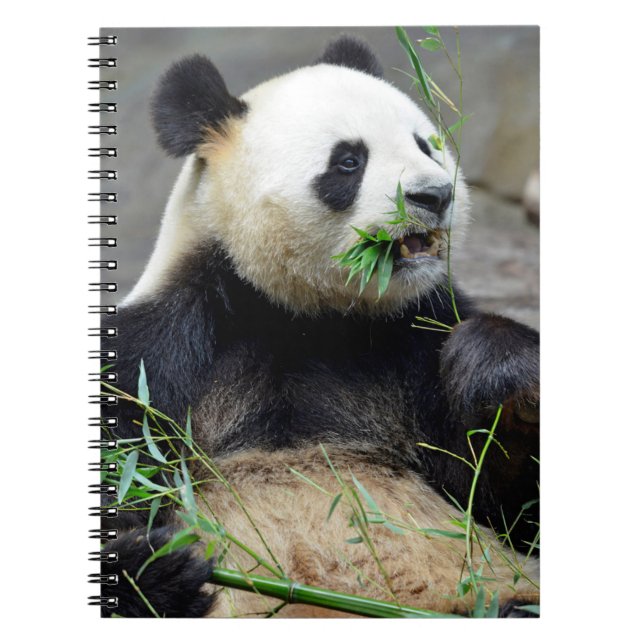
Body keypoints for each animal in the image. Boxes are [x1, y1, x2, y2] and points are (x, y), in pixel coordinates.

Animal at [100, 36, 540, 618]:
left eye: (426, 146)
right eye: (349, 161)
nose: (435, 196)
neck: (306, 317)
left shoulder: (416, 339)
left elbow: (505, 507)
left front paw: (499, 372)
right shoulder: (163, 351)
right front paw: (157, 569)